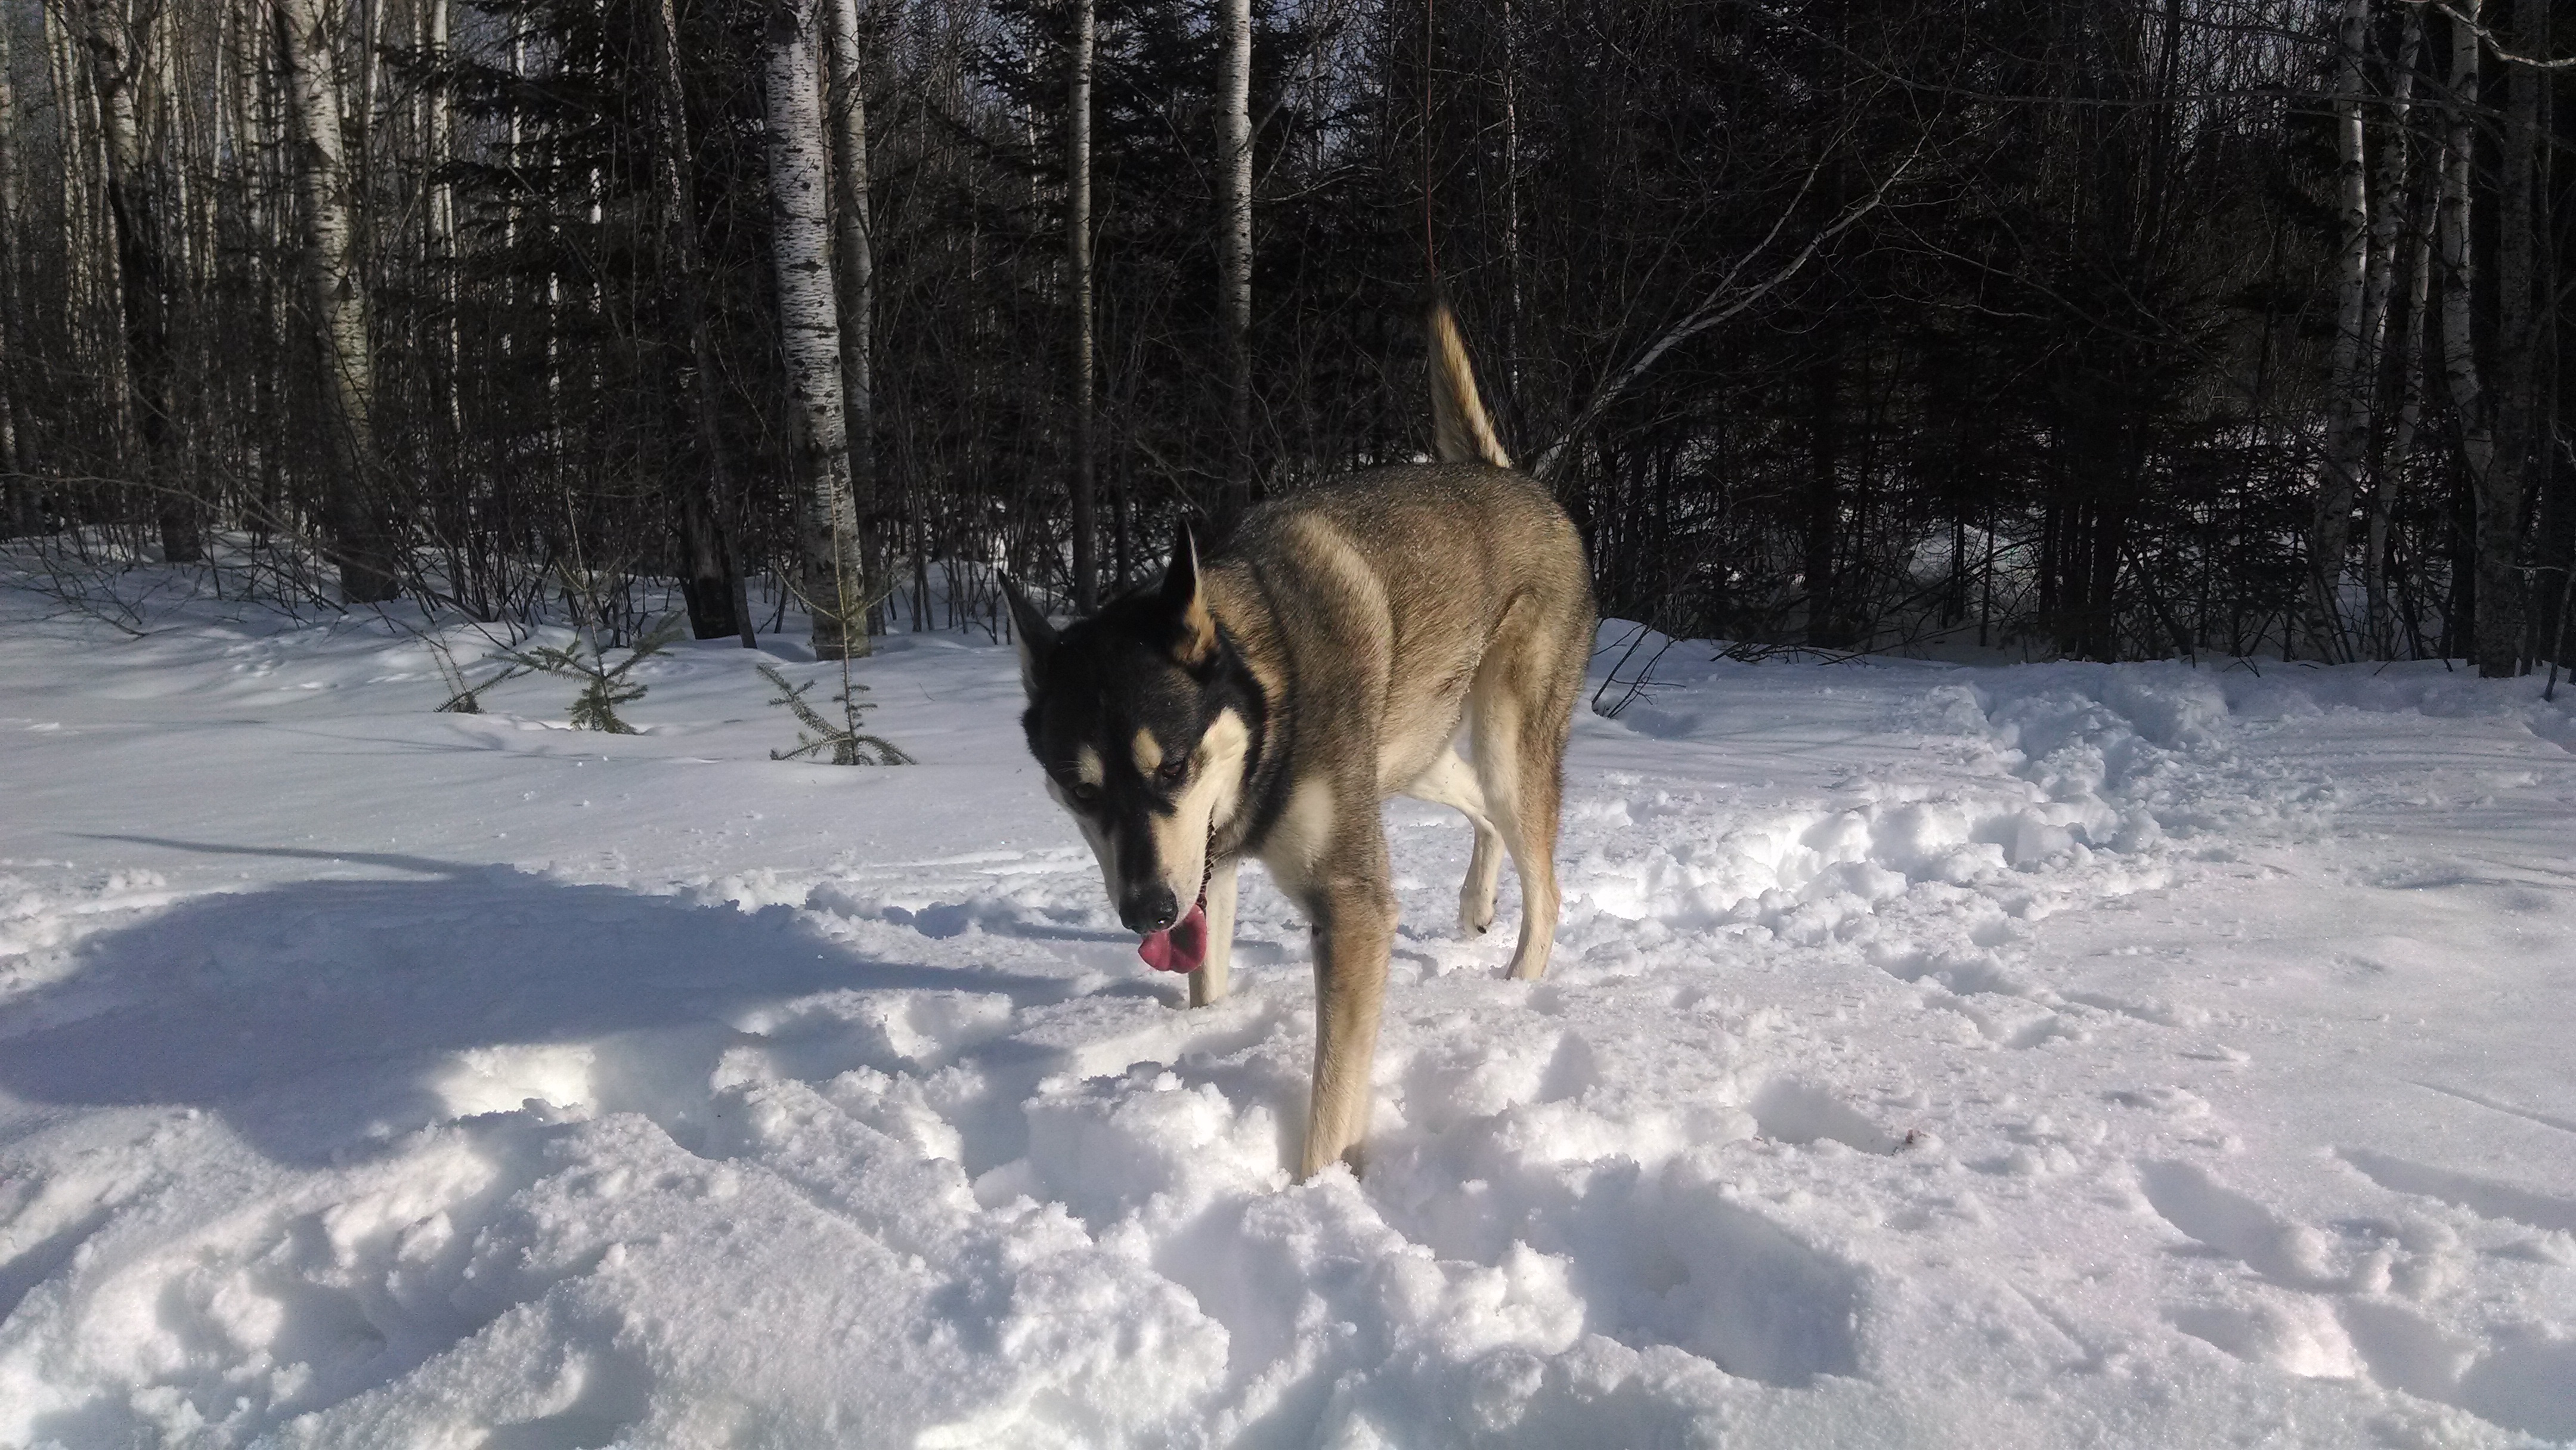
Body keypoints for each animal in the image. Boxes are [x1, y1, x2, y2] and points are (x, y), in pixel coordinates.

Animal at [1002, 304, 1595, 1178]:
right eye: (1081, 790)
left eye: (1172, 766)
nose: (1146, 912)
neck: (1267, 695)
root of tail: (1510, 477)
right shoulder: (1207, 867)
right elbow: (1208, 978)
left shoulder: (1349, 908)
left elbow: (1331, 1103)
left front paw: (1313, 1195)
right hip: (1403, 756)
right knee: (1483, 812)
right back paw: (1476, 903)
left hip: (1504, 736)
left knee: (1544, 879)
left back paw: (1515, 986)